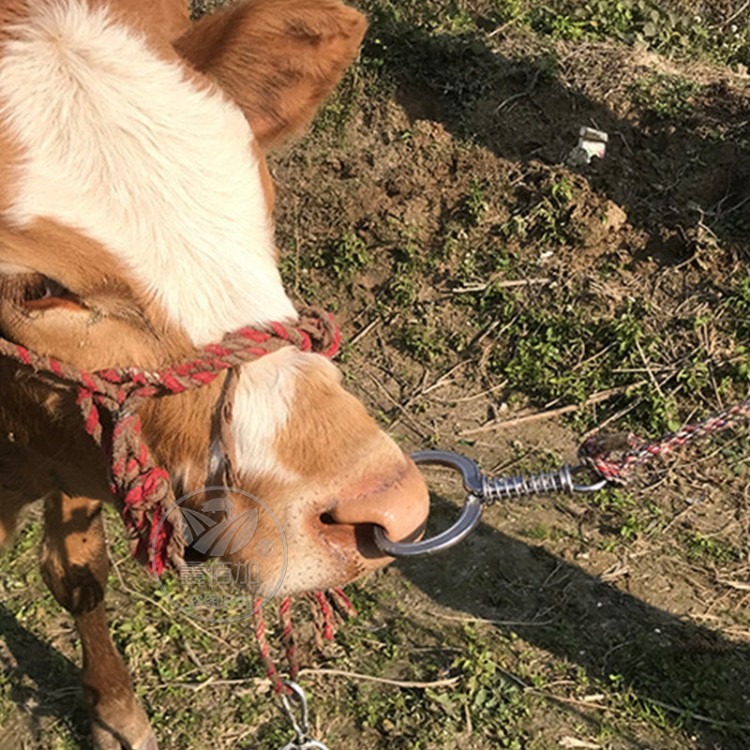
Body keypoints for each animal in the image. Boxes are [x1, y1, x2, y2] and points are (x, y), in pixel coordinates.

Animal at [0, 2, 428, 748]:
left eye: (265, 194)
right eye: (37, 290)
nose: (392, 504)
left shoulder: (82, 455)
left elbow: (78, 572)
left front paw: (115, 710)